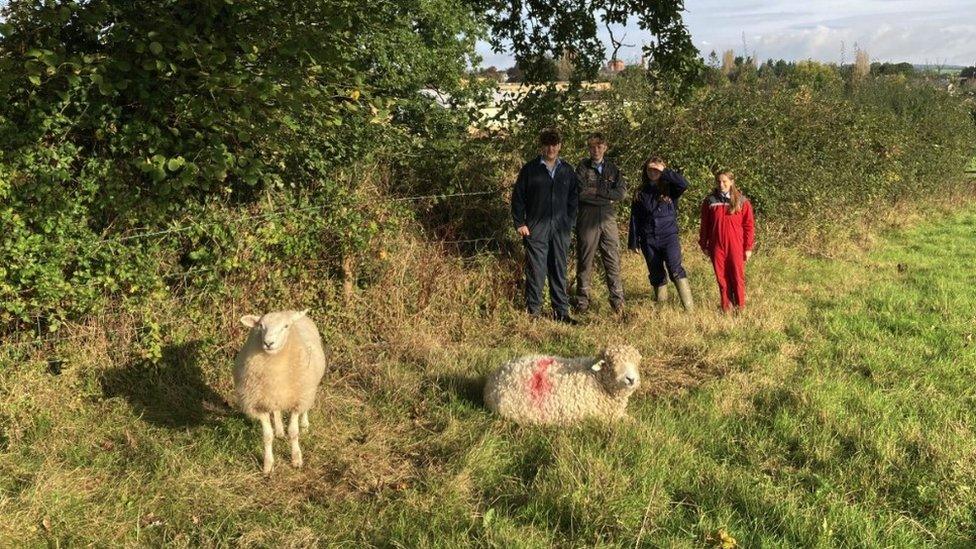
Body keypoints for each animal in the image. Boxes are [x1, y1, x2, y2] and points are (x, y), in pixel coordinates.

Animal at [234, 308, 326, 470]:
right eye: (261, 326)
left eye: (286, 326)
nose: (268, 343)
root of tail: (290, 311)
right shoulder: (258, 404)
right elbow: (267, 436)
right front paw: (267, 465)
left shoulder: (297, 400)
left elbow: (294, 432)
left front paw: (296, 459)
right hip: (274, 396)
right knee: (276, 411)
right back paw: (279, 431)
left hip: (308, 388)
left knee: (305, 409)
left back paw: (304, 425)